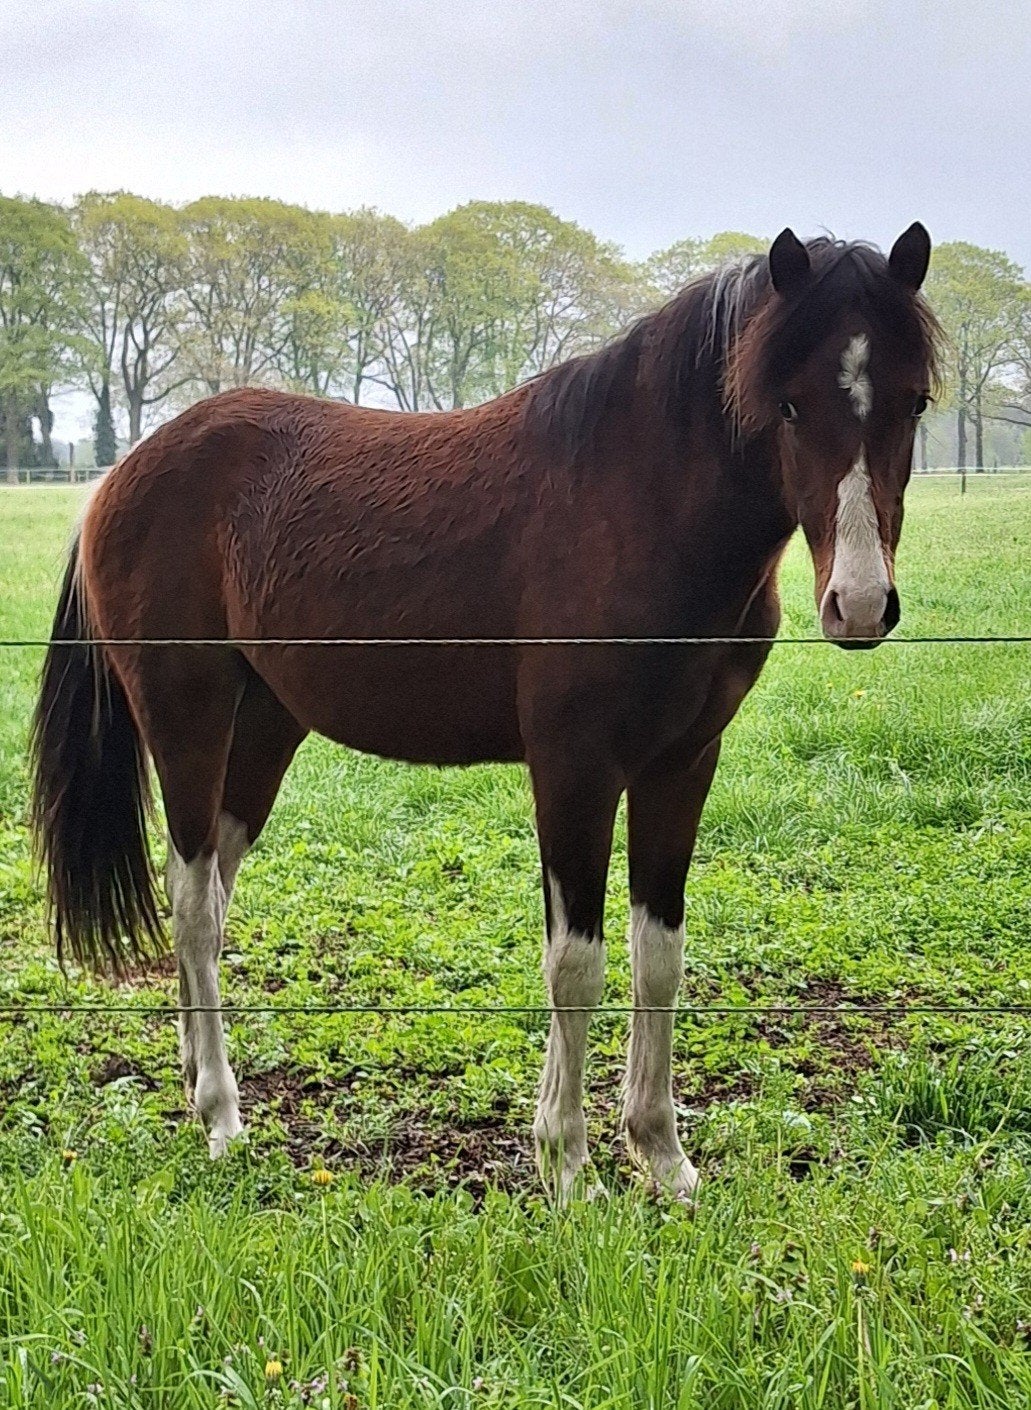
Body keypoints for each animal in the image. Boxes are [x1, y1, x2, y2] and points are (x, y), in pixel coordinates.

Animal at [31, 224, 940, 1197]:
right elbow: (574, 963)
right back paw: (221, 1118)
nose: (858, 605)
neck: (639, 502)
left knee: (211, 894)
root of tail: (120, 476)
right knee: (194, 903)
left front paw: (661, 1156)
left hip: (266, 725)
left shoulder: (682, 764)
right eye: (789, 405)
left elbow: (658, 956)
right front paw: (568, 1168)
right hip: (187, 716)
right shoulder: (575, 769)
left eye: (914, 402)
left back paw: (197, 1074)